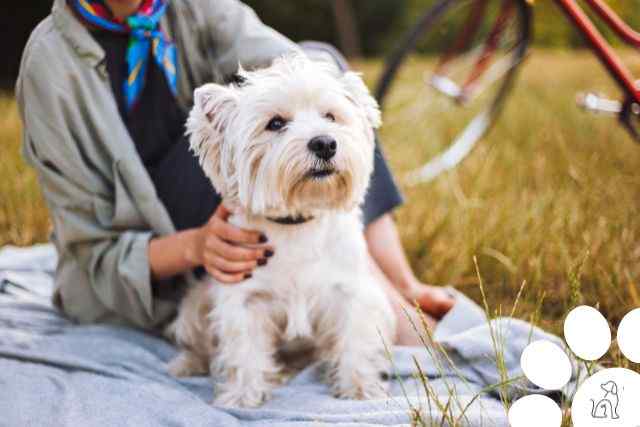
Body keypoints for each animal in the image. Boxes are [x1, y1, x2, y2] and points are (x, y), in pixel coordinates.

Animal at [166, 55, 396, 410]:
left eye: (330, 116)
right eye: (275, 123)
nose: (325, 143)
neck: (298, 223)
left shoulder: (349, 293)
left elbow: (353, 340)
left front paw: (359, 387)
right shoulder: (244, 299)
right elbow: (244, 350)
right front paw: (242, 395)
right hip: (194, 305)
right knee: (198, 343)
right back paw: (188, 364)